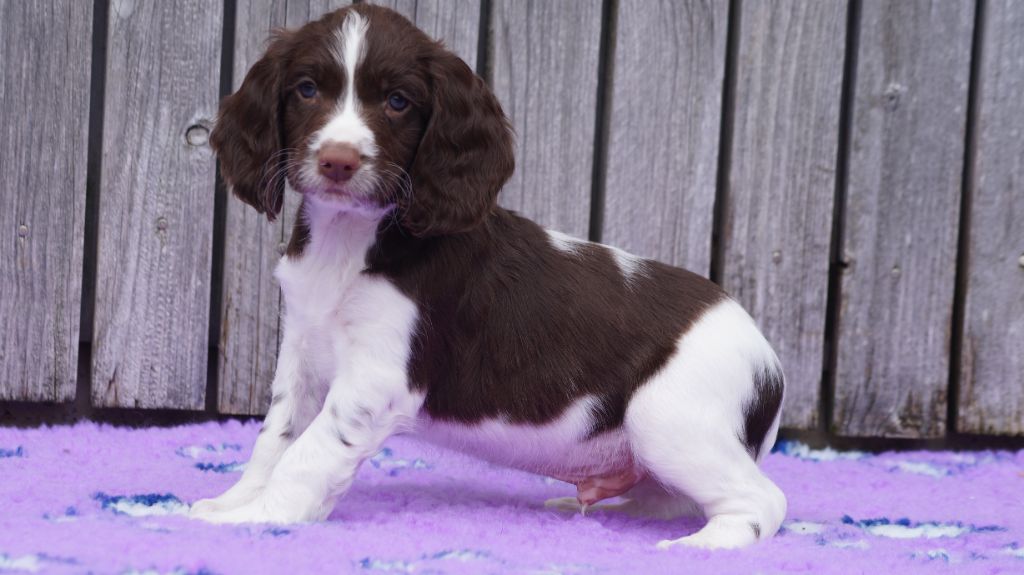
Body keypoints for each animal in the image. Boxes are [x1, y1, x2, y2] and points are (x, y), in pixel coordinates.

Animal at [189, 3, 787, 550]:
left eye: (398, 102)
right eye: (308, 89)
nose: (338, 161)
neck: (351, 240)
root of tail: (770, 362)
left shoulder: (377, 378)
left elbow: (309, 453)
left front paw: (260, 519)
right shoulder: (303, 351)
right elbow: (277, 438)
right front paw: (233, 503)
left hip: (667, 419)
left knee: (764, 499)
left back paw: (703, 546)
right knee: (667, 498)